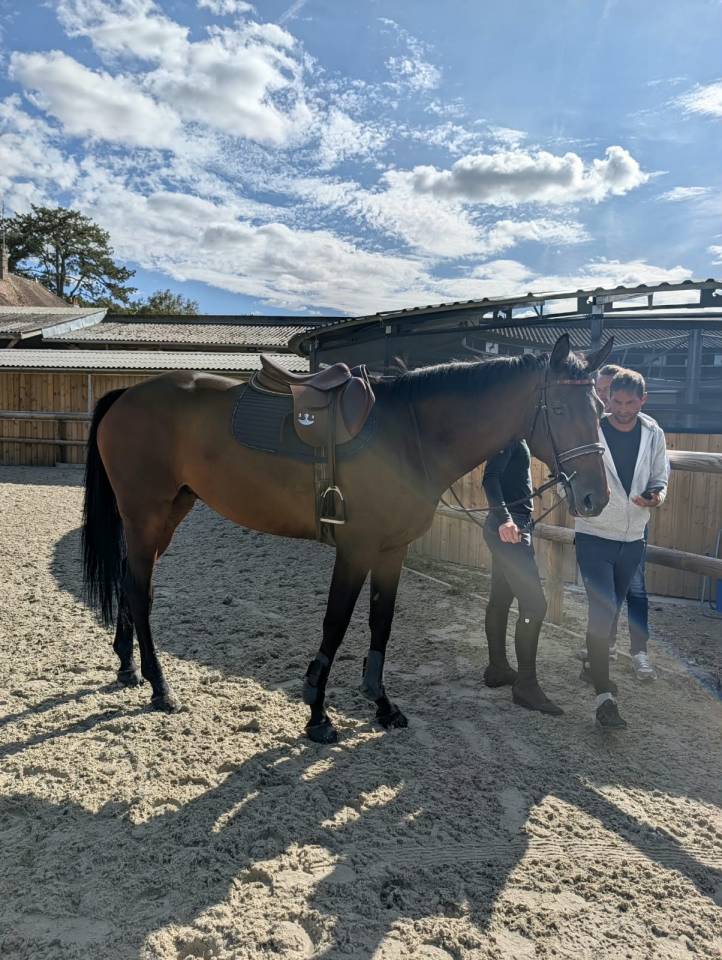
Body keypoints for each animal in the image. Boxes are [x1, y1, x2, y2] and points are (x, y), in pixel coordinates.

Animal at [82, 333, 612, 743]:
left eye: (600, 408)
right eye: (559, 406)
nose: (594, 497)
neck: (409, 433)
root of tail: (125, 395)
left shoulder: (392, 550)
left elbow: (381, 623)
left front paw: (382, 704)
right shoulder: (356, 550)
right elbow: (335, 623)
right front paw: (317, 713)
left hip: (168, 515)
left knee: (132, 584)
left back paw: (129, 667)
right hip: (145, 515)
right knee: (139, 592)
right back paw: (160, 686)